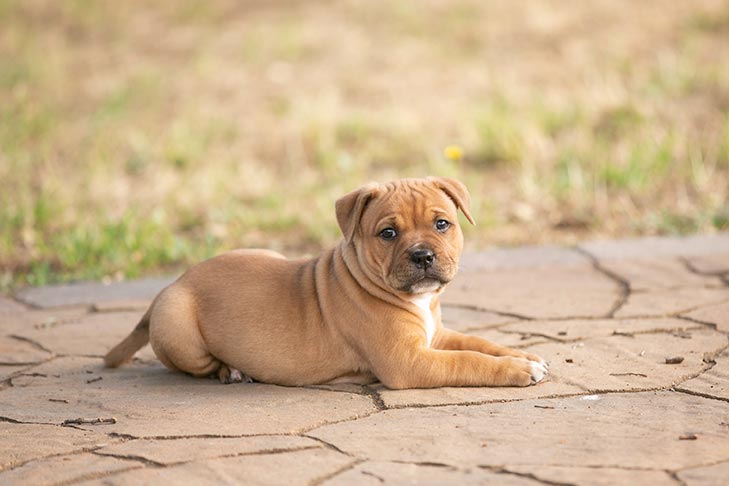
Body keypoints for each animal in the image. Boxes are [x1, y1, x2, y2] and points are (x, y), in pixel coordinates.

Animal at [104, 178, 544, 388]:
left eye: (442, 224)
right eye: (387, 233)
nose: (422, 256)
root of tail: (172, 284)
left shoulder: (435, 336)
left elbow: (479, 343)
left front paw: (523, 355)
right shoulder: (410, 361)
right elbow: (468, 361)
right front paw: (517, 369)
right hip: (178, 325)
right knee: (199, 366)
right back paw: (232, 371)